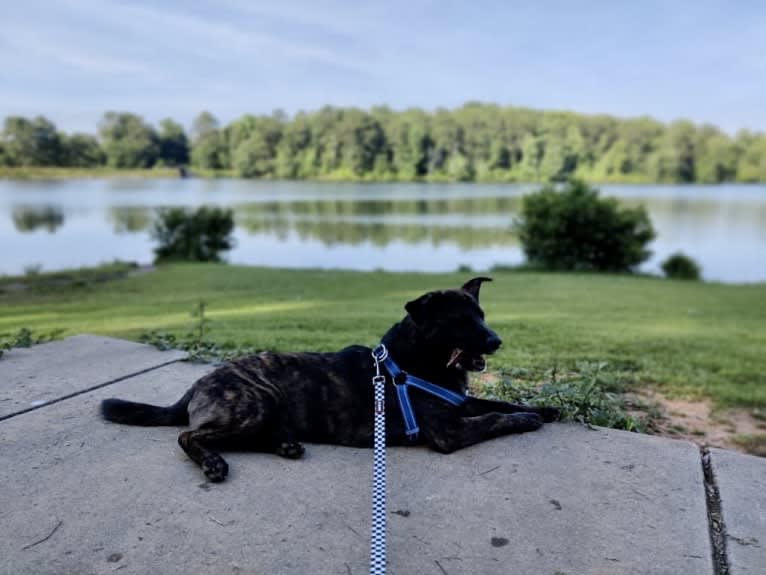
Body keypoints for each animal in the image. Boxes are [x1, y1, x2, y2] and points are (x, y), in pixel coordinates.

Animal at [100, 278, 560, 482]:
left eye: (481, 315)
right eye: (461, 321)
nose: (497, 340)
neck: (417, 362)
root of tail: (199, 384)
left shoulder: (460, 402)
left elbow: (498, 404)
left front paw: (543, 407)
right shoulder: (449, 431)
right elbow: (493, 419)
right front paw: (528, 420)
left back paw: (284, 445)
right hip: (253, 402)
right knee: (189, 436)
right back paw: (213, 462)